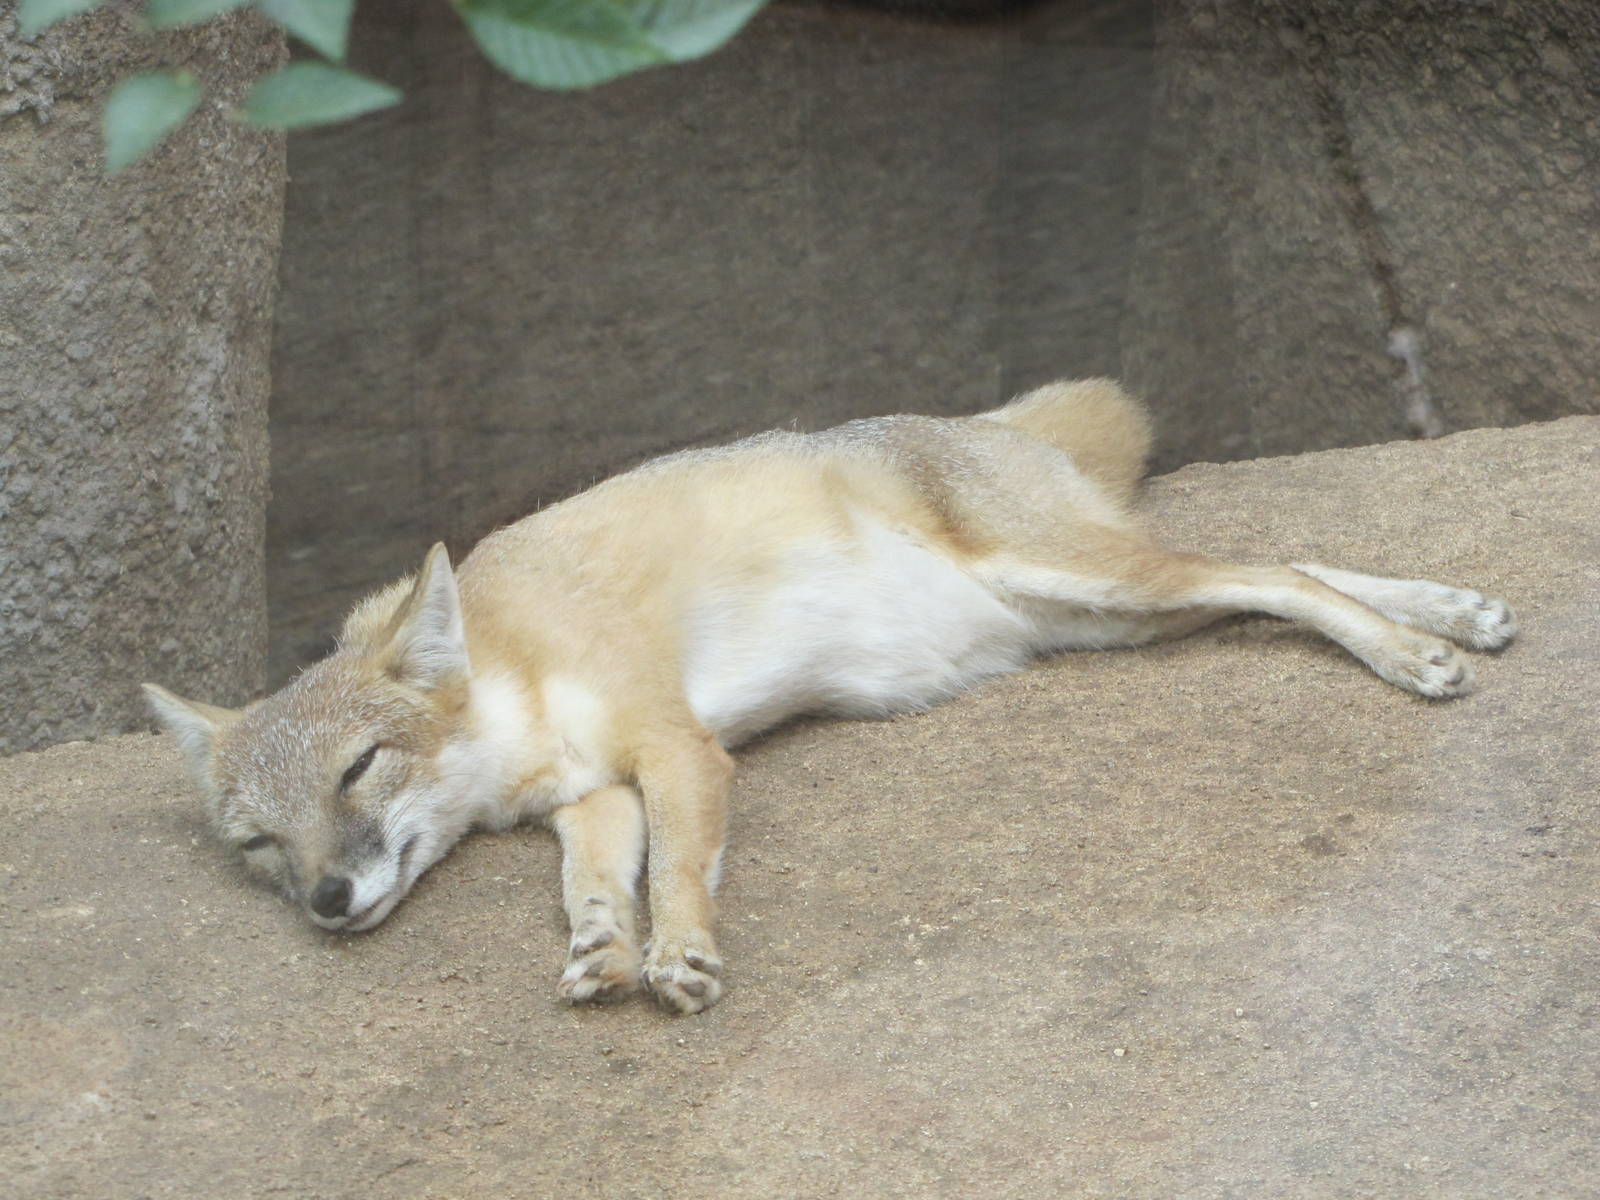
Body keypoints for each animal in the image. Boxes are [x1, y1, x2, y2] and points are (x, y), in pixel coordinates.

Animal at [145, 379, 1517, 1014]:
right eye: (259, 844)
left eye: (357, 771)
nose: (326, 902)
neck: (512, 676)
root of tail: (972, 422)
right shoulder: (592, 796)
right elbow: (591, 881)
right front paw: (603, 949)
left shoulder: (676, 747)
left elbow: (680, 867)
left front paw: (682, 951)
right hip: (1109, 616)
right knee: (1276, 569)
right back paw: (1451, 612)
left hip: (1092, 580)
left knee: (1276, 570)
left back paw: (1414, 654)